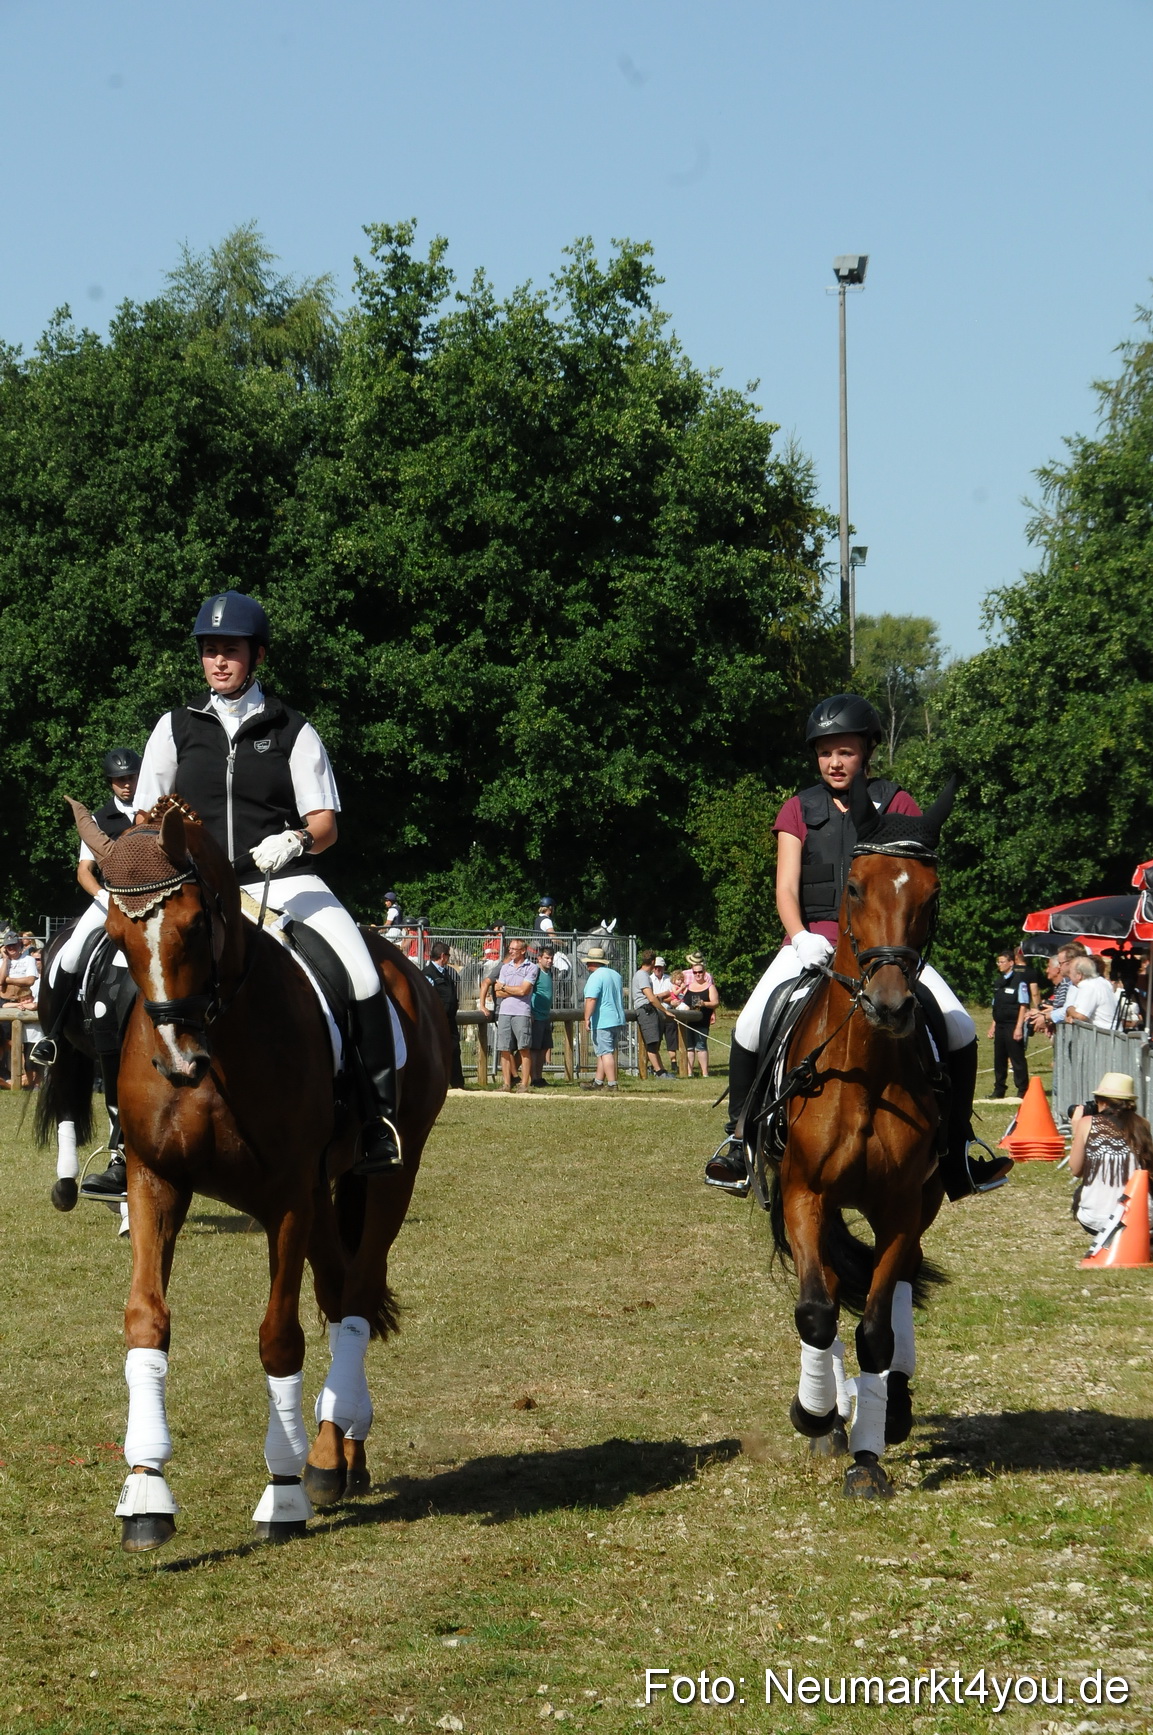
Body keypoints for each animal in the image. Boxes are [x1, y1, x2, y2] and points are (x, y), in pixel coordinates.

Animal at [69, 796, 451, 1550]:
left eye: (194, 923)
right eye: (117, 934)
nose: (177, 1061)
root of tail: (406, 968)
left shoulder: (287, 1199)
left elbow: (280, 1338)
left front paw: (282, 1492)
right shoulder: (156, 1182)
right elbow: (145, 1319)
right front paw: (146, 1490)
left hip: (389, 1176)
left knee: (357, 1293)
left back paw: (327, 1456)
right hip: (326, 1196)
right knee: (338, 1290)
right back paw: (342, 1451)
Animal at [753, 778, 956, 1501]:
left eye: (930, 894)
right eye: (856, 888)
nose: (890, 1005)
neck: (864, 1071)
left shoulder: (900, 1208)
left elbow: (874, 1329)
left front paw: (867, 1455)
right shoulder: (803, 1194)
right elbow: (816, 1310)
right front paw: (815, 1416)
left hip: (922, 1206)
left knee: (892, 1293)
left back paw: (890, 1408)